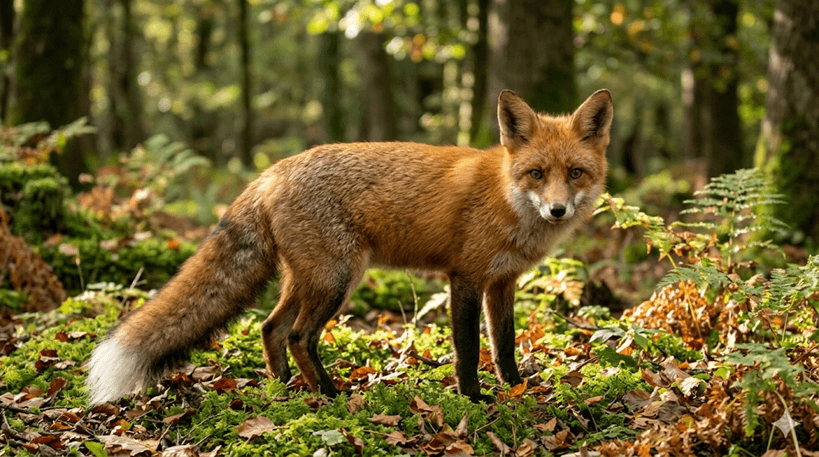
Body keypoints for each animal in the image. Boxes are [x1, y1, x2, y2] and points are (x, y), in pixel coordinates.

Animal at [86, 89, 612, 405]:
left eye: (575, 173)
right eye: (536, 174)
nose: (557, 211)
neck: (506, 198)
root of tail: (272, 170)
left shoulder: (501, 282)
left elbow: (503, 345)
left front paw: (517, 388)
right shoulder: (464, 278)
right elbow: (467, 351)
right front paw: (474, 400)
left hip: (310, 278)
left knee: (271, 328)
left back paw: (284, 389)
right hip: (338, 278)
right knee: (299, 335)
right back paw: (330, 394)